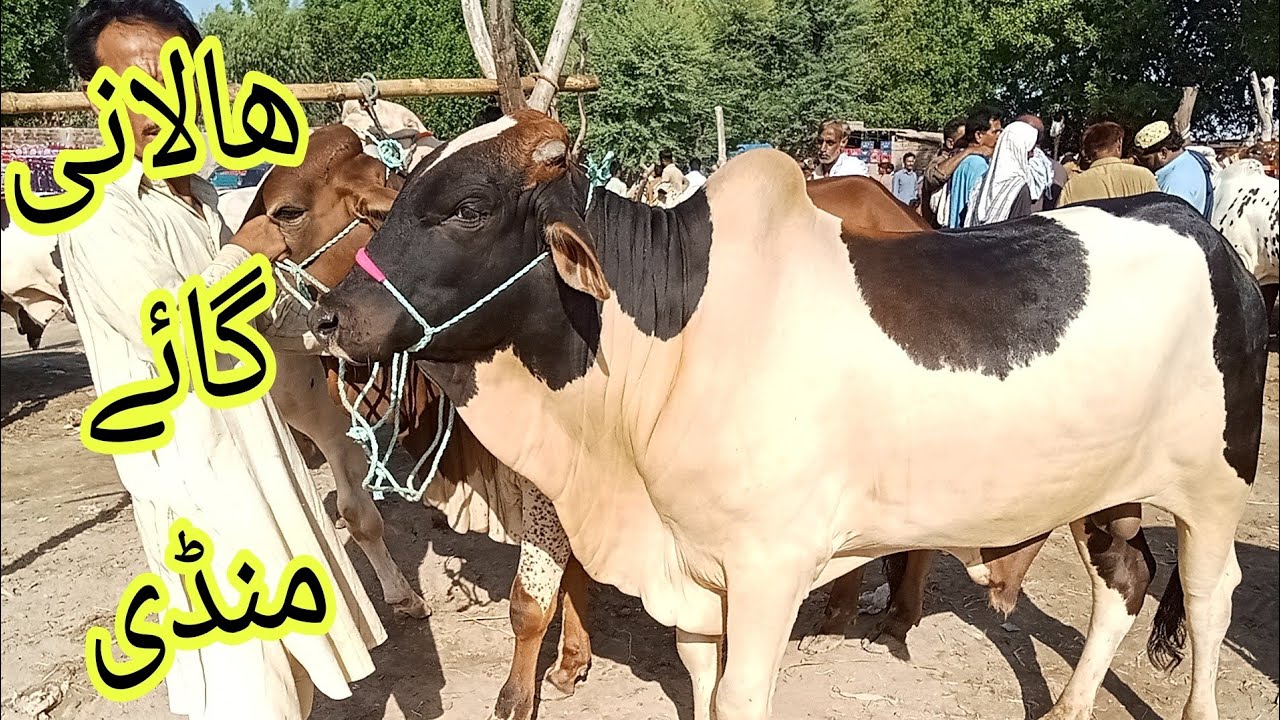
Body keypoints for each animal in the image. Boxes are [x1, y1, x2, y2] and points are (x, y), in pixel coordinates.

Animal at [310, 111, 1268, 720]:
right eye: (397, 194)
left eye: (469, 208)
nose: (329, 318)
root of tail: (1202, 229)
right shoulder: (693, 564)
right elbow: (699, 675)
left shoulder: (771, 567)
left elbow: (741, 695)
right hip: (1102, 489)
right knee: (1125, 580)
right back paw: (1067, 707)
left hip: (1213, 490)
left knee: (1210, 598)